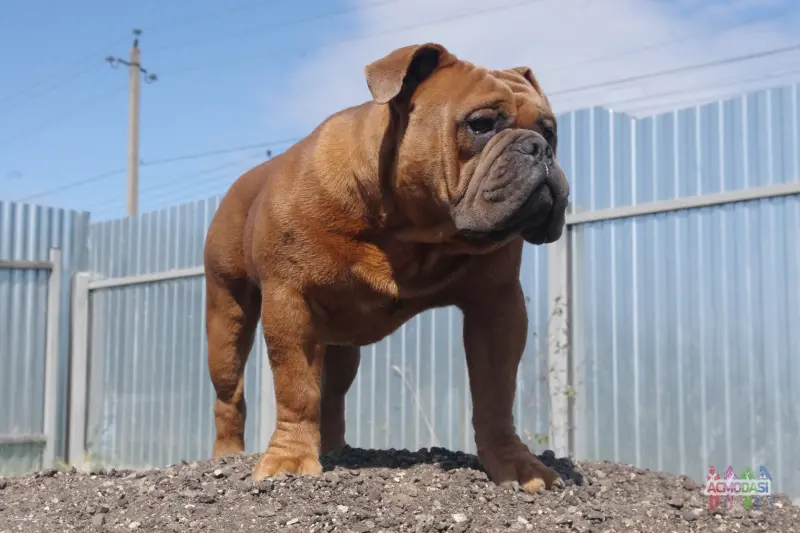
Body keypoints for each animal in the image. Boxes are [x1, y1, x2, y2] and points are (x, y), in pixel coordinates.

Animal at [205, 42, 568, 494]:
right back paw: (227, 456)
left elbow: (496, 395)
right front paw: (289, 460)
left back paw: (339, 449)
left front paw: (515, 465)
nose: (540, 148)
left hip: (342, 345)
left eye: (550, 130)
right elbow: (296, 389)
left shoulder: (497, 306)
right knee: (230, 393)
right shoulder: (290, 300)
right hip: (226, 319)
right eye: (481, 124)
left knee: (333, 394)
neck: (410, 228)